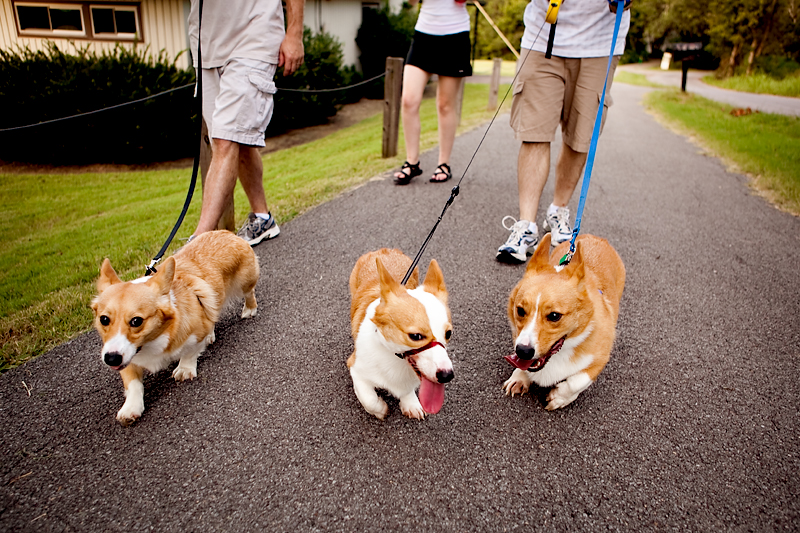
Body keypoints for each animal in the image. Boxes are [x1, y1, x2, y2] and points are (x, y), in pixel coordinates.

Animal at [91, 231, 260, 426]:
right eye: (104, 319)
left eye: (136, 321)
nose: (110, 359)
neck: (152, 341)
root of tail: (227, 233)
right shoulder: (125, 355)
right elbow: (133, 383)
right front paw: (130, 408)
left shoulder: (195, 333)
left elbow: (190, 351)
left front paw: (184, 369)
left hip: (245, 281)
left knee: (248, 293)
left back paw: (249, 309)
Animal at [346, 249, 454, 420]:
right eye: (415, 336)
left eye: (448, 333)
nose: (447, 375)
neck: (394, 358)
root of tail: (384, 250)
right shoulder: (355, 369)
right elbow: (369, 399)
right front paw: (381, 410)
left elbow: (406, 390)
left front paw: (410, 403)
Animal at [500, 231, 624, 410]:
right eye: (520, 310)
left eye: (554, 316)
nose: (523, 351)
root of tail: (597, 238)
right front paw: (519, 377)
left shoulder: (600, 359)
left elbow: (577, 381)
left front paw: (559, 397)